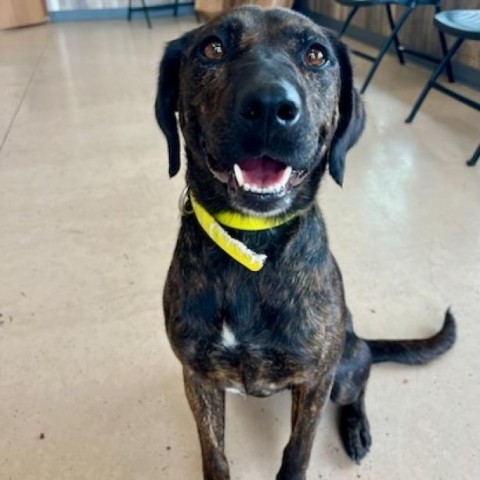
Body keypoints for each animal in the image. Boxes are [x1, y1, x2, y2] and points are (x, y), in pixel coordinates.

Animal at [156, 4, 456, 480]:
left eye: (316, 55)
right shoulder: (198, 376)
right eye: (212, 48)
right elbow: (214, 453)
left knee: (361, 382)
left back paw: (357, 428)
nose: (268, 106)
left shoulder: (316, 380)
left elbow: (298, 450)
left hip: (345, 365)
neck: (252, 245)